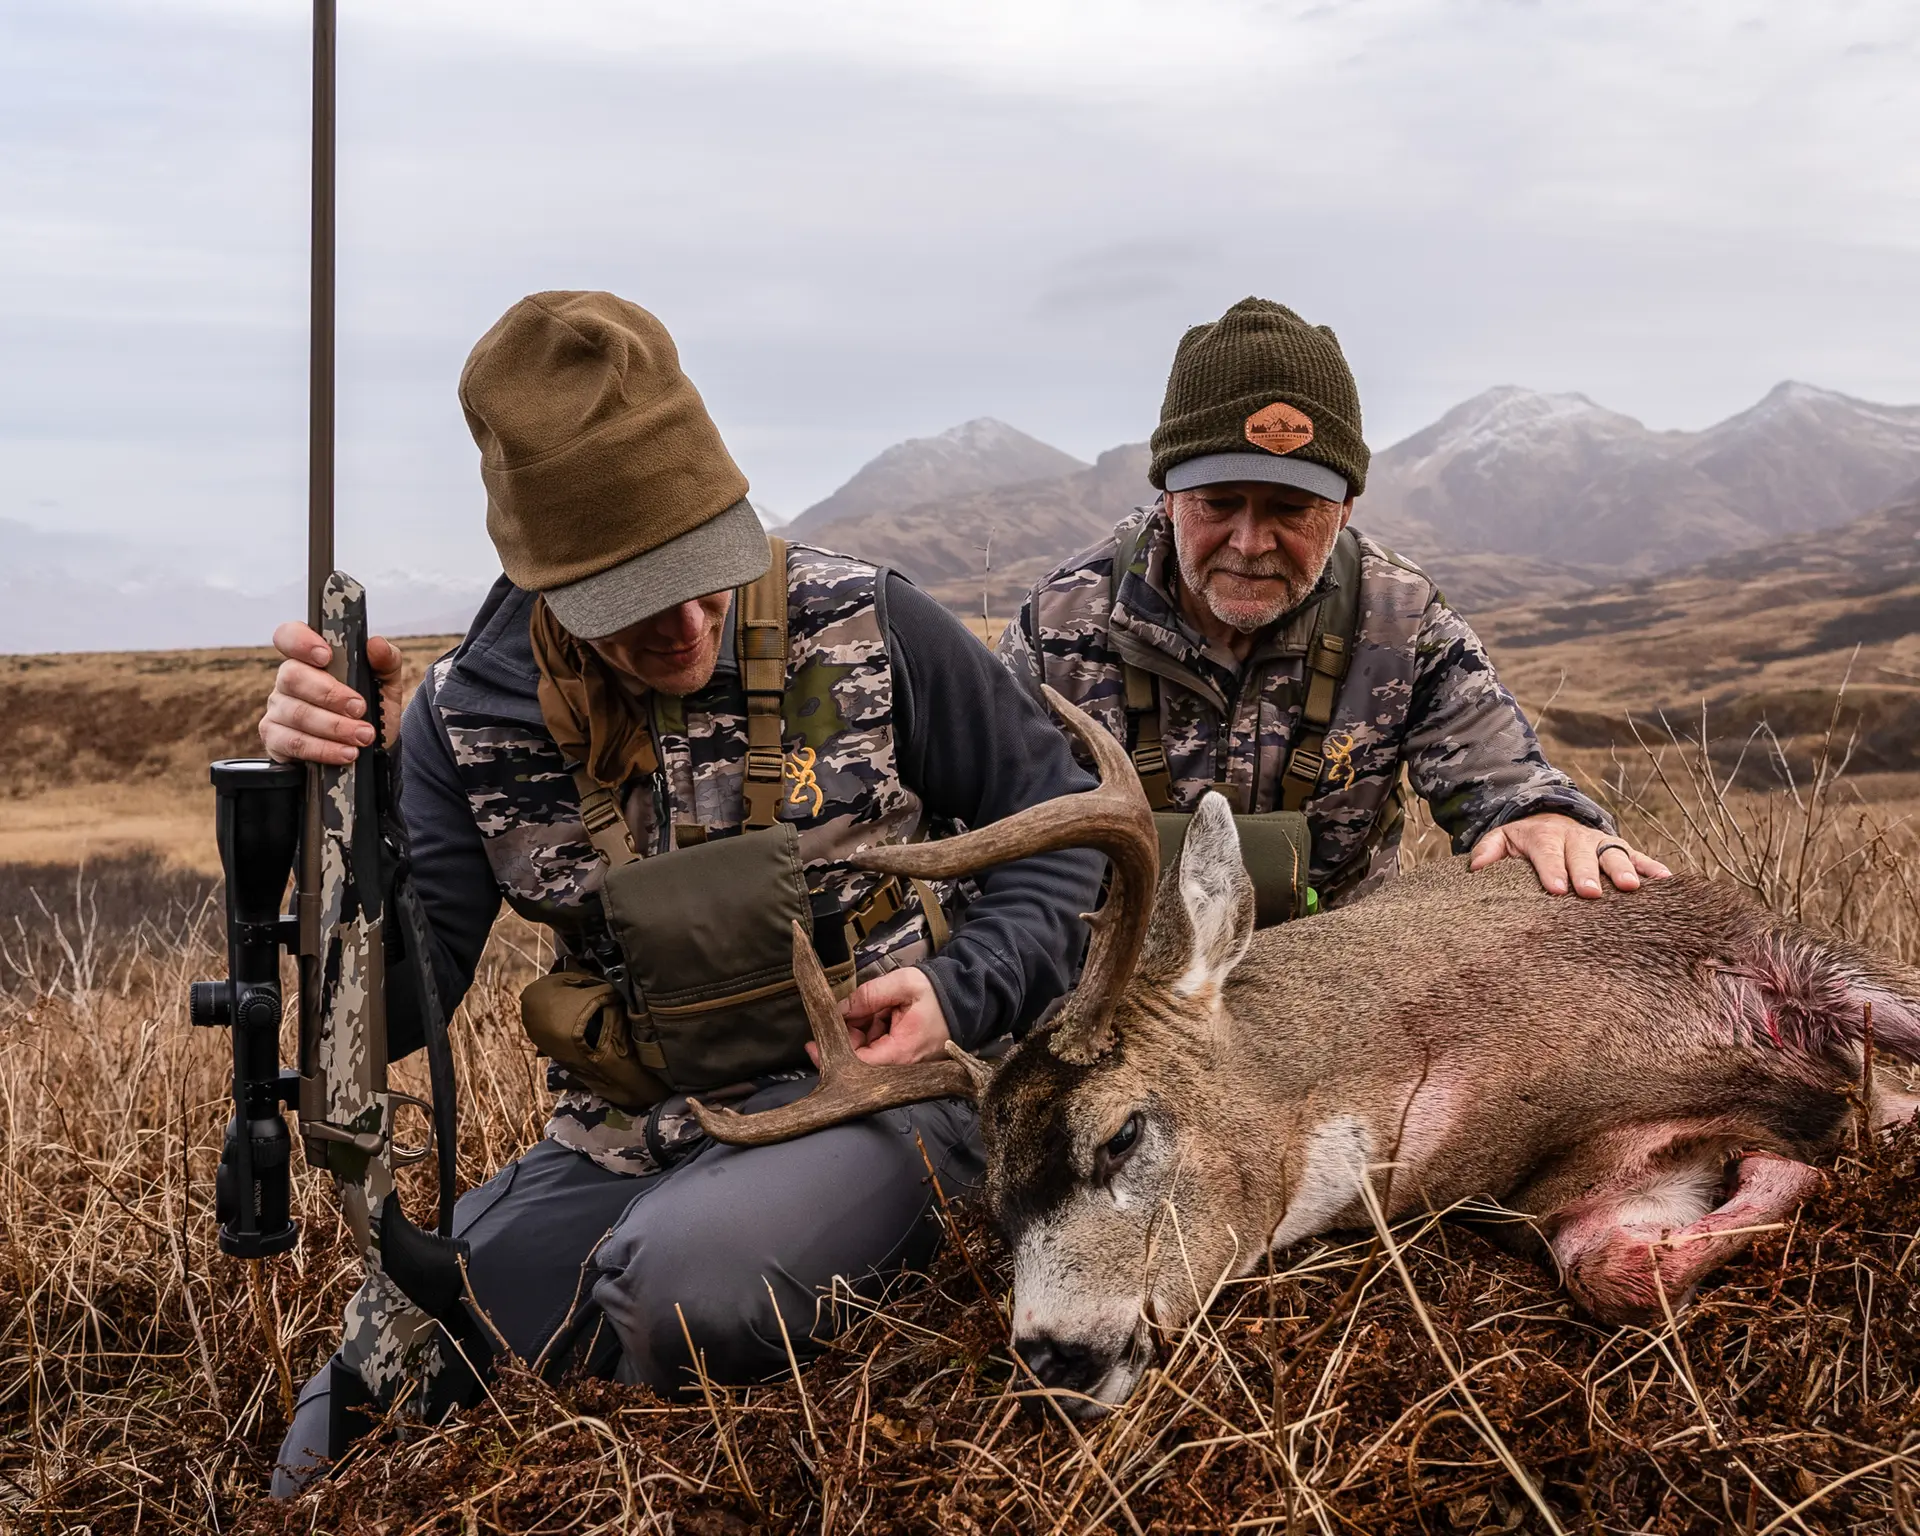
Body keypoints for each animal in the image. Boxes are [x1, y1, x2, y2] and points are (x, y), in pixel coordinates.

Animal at [691, 691, 1920, 1413]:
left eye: (1121, 1131)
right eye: (993, 1199)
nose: (1055, 1354)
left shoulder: (1771, 949)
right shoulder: (1577, 1189)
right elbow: (1624, 1264)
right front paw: (1815, 1141)